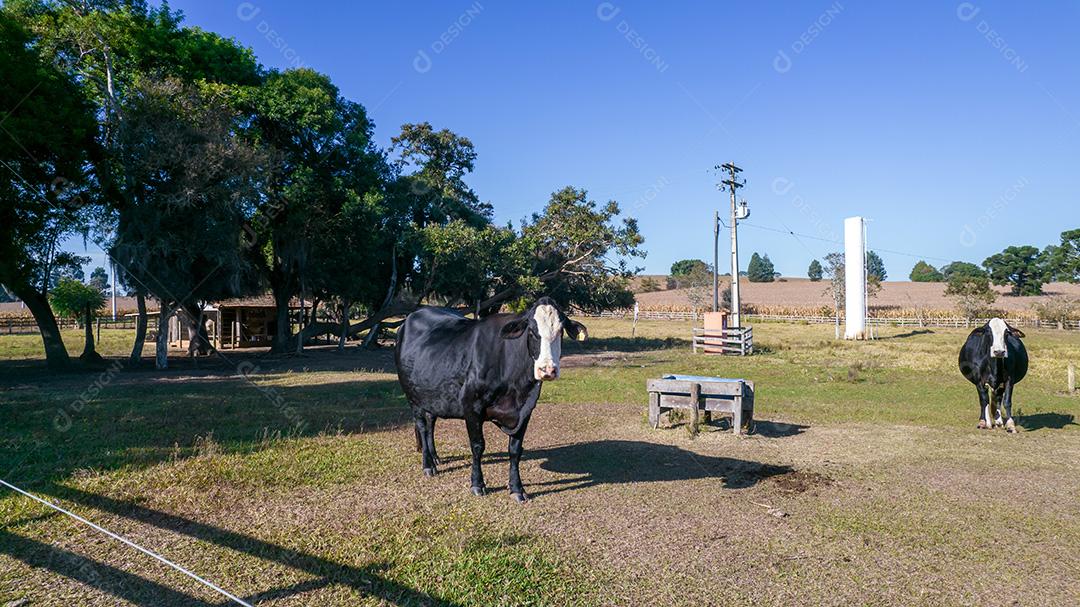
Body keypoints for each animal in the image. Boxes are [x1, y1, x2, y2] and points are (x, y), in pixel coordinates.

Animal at [395, 297, 587, 502]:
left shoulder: (526, 410)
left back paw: (435, 457)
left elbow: (515, 450)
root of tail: (412, 317)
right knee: (423, 427)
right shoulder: (471, 406)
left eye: (560, 331)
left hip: (432, 395)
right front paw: (477, 484)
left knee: (431, 422)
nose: (548, 370)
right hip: (412, 397)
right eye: (532, 331)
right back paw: (428, 465)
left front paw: (517, 488)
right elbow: (478, 446)